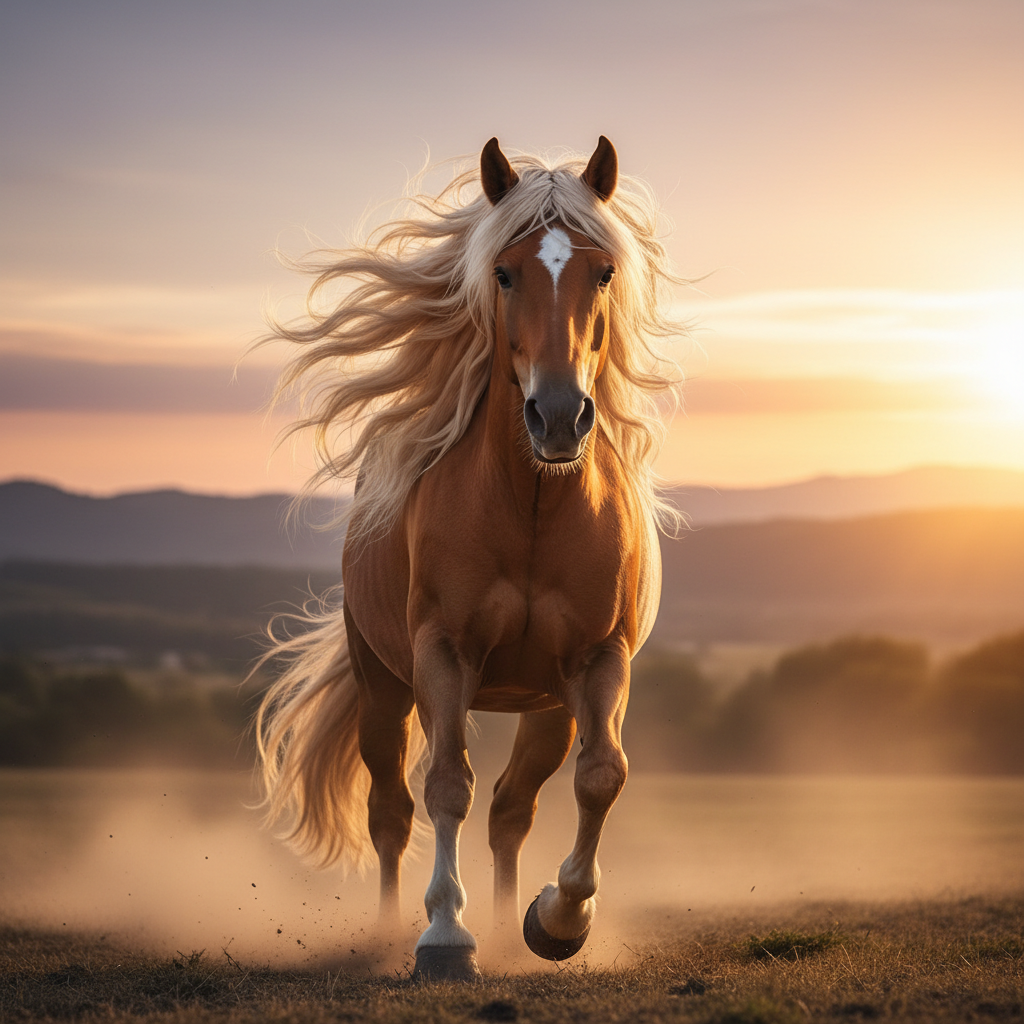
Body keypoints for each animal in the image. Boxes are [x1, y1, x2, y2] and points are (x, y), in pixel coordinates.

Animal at [256, 136, 683, 981]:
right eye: (504, 272)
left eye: (604, 272)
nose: (559, 417)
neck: (533, 511)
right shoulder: (442, 656)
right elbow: (447, 785)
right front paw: (444, 937)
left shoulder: (597, 662)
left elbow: (601, 777)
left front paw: (557, 919)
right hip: (384, 688)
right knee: (391, 810)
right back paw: (393, 929)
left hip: (546, 708)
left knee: (512, 810)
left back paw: (510, 923)